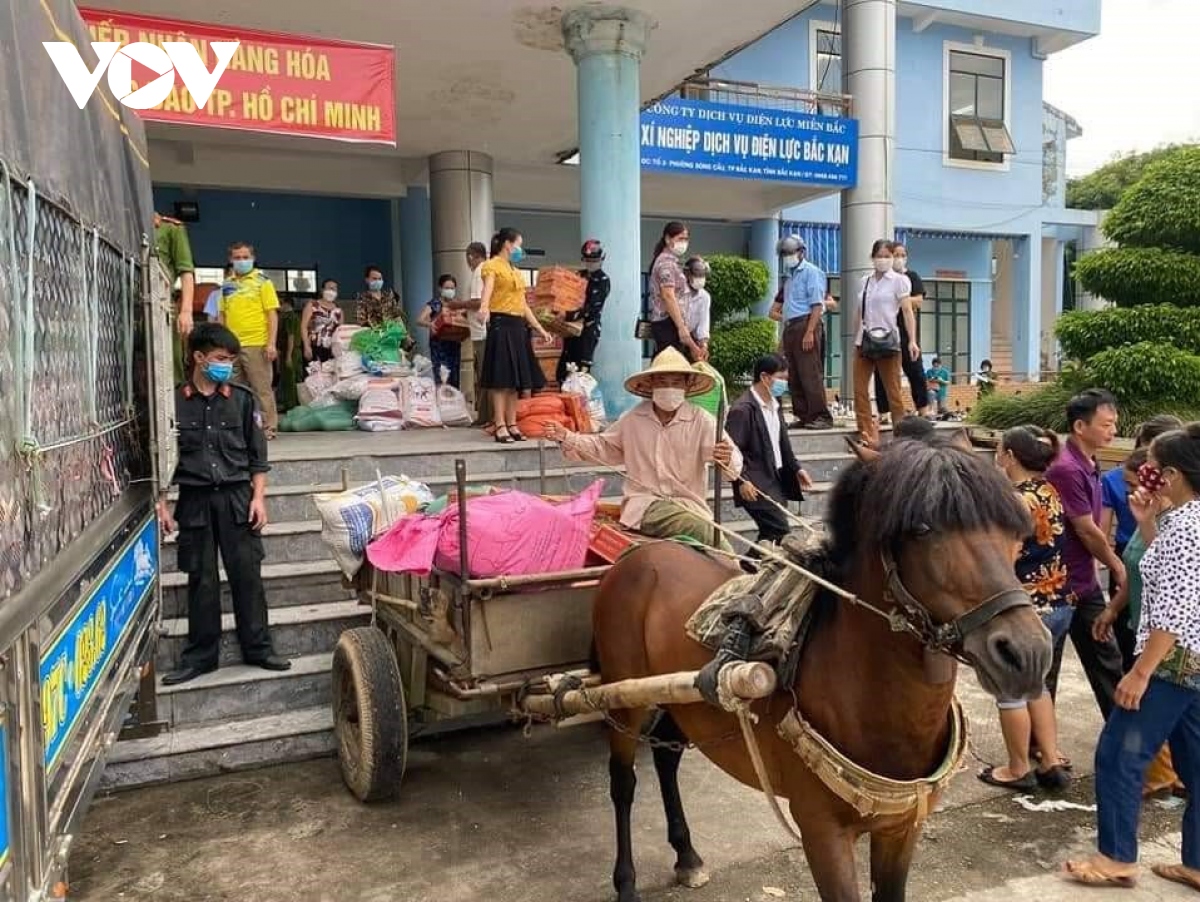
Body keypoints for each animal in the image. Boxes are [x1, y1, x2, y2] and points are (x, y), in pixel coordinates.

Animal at [590, 436, 1051, 902]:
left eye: (1015, 531)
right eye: (922, 529)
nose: (1027, 654)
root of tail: (639, 554)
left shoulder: (902, 828)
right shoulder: (821, 831)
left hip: (681, 698)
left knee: (666, 758)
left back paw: (687, 856)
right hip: (623, 693)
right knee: (623, 782)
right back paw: (625, 881)